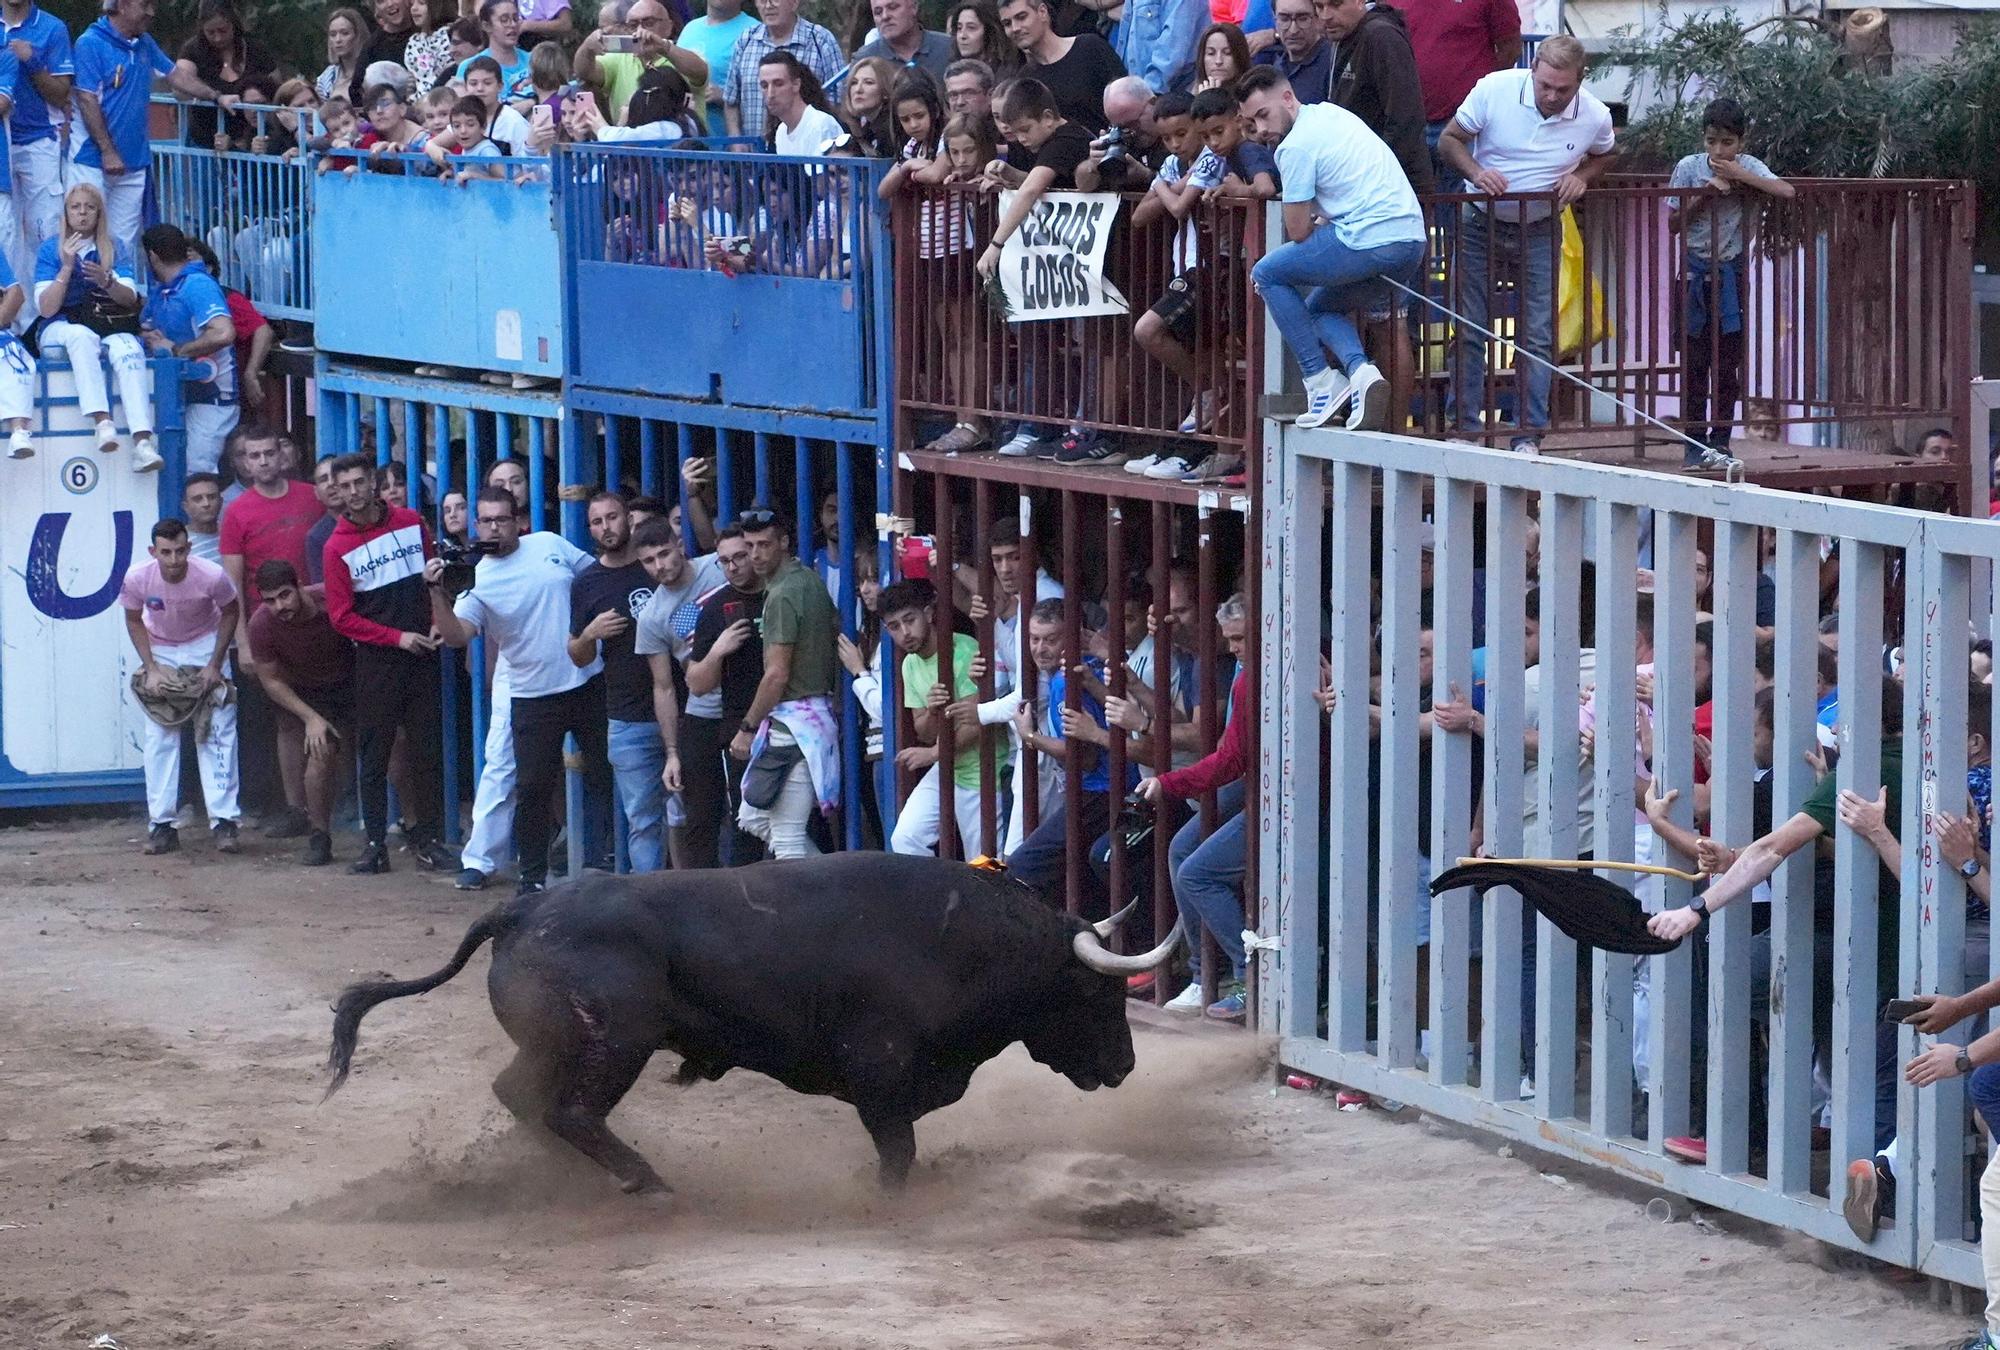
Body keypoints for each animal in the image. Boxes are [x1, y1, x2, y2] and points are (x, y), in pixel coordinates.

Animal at [320, 856, 1176, 1192]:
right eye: (1101, 998)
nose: (1127, 1067)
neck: (963, 941)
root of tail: (522, 909)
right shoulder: (880, 1070)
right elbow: (897, 1149)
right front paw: (884, 1199)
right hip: (615, 1043)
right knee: (570, 1110)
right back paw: (648, 1183)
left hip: (559, 1046)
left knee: (522, 1097)